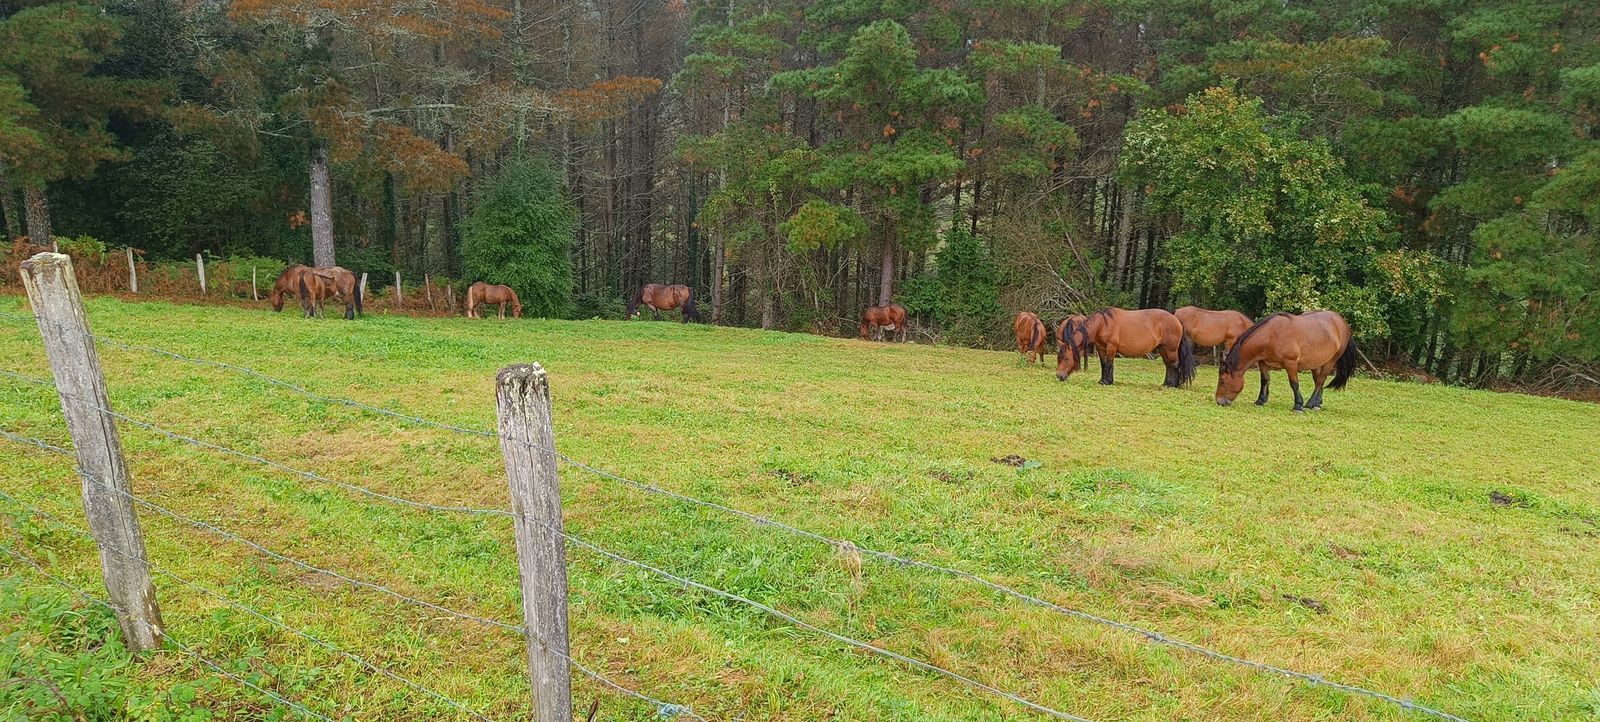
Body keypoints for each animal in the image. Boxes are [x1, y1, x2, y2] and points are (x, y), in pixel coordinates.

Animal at [1056, 307, 1197, 387]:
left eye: (1067, 358)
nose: (1059, 376)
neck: (1102, 324)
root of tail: (1176, 319)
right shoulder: (1101, 348)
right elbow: (1104, 364)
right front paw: (1104, 380)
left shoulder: (1111, 347)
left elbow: (1109, 364)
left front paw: (1107, 382)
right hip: (1163, 349)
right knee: (1169, 365)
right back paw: (1166, 383)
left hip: (1170, 349)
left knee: (1175, 365)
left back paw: (1172, 385)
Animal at [1216, 310, 1357, 412]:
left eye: (1223, 380)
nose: (1219, 401)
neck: (1272, 336)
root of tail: (1342, 323)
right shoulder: (1263, 363)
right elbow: (1264, 380)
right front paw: (1260, 400)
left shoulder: (1291, 364)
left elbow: (1294, 384)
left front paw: (1298, 405)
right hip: (1317, 362)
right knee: (1318, 380)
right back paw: (1317, 403)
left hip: (1330, 361)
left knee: (1320, 380)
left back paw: (1310, 403)